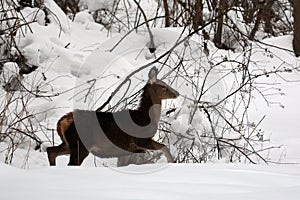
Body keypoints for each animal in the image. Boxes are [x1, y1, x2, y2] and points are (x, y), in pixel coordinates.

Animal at [46, 67, 178, 166]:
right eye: (163, 86)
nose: (177, 93)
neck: (147, 117)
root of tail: (62, 121)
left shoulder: (128, 150)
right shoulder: (140, 140)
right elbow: (164, 147)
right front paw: (172, 162)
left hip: (70, 143)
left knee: (51, 150)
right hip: (81, 143)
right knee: (71, 163)